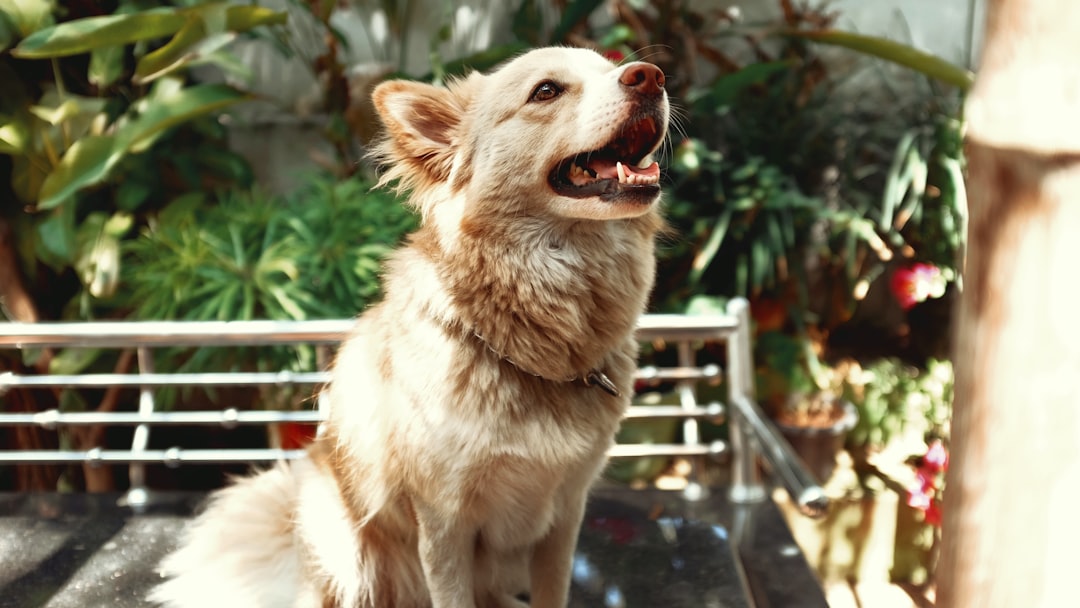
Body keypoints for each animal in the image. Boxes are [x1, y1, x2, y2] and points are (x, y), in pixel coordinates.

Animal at [152, 46, 665, 608]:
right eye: (546, 91)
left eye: (611, 66)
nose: (651, 76)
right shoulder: (444, 526)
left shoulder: (564, 515)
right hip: (342, 542)